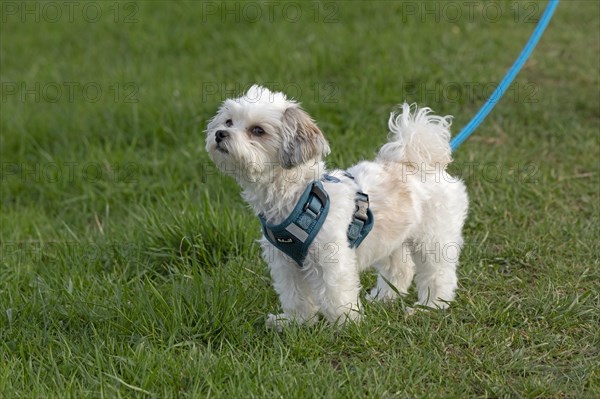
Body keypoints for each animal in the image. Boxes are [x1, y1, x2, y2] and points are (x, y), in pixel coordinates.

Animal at [206, 85, 468, 328]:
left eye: (258, 131)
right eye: (228, 121)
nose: (220, 133)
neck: (298, 198)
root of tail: (421, 162)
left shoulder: (331, 258)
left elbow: (335, 293)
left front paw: (346, 326)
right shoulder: (285, 264)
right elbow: (295, 296)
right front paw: (295, 322)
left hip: (434, 238)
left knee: (438, 274)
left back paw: (431, 306)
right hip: (394, 238)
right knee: (400, 269)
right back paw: (383, 298)